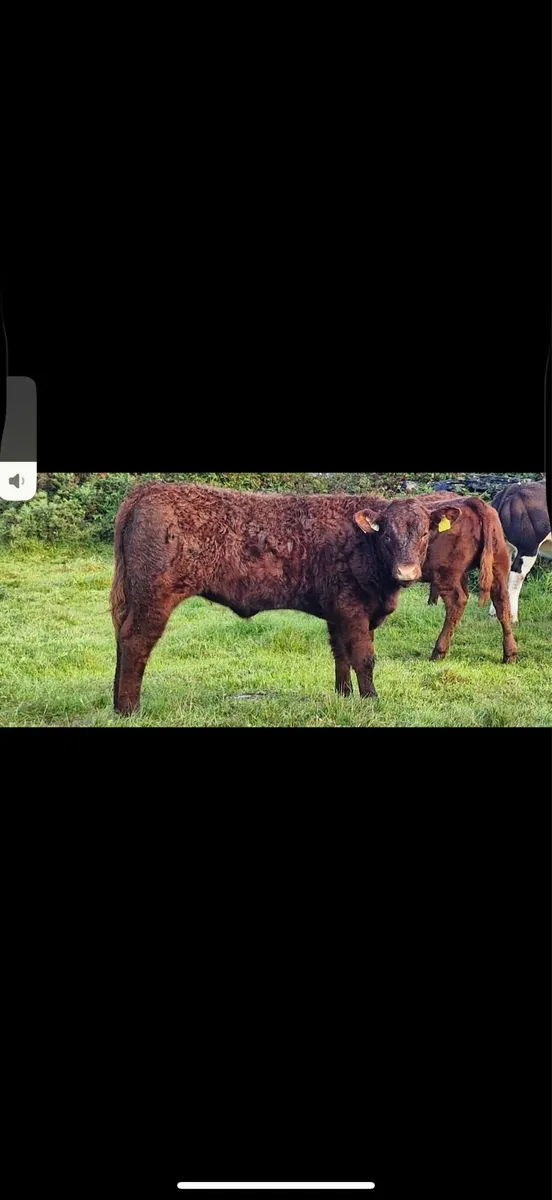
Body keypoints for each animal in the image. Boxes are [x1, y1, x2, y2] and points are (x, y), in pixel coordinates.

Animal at [111, 483, 514, 714]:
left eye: (425, 535)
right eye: (386, 535)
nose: (408, 573)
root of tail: (148, 490)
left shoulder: (340, 611)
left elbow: (341, 654)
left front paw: (345, 695)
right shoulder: (353, 608)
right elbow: (364, 656)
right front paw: (371, 700)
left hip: (133, 596)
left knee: (120, 636)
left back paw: (117, 702)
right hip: (154, 596)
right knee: (136, 641)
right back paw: (130, 709)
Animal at [488, 481, 551, 623]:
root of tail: (516, 487)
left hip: (503, 546)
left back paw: (495, 614)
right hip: (528, 546)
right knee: (517, 575)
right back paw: (512, 618)